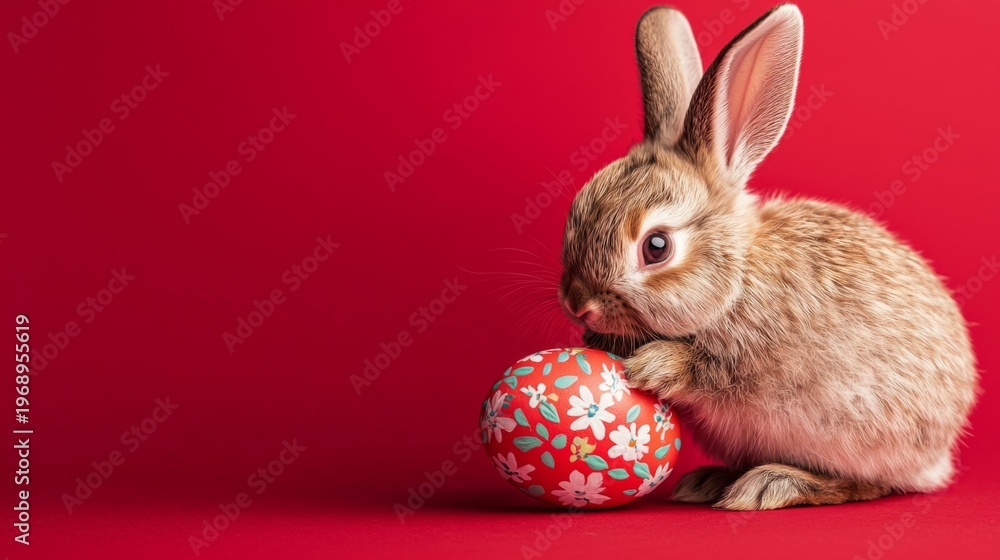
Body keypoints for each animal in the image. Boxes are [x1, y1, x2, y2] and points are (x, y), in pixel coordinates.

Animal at [557, 4, 978, 510]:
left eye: (656, 247)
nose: (579, 305)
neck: (737, 279)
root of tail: (940, 455)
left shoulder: (749, 358)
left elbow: (710, 371)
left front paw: (651, 365)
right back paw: (710, 481)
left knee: (869, 483)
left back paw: (770, 484)